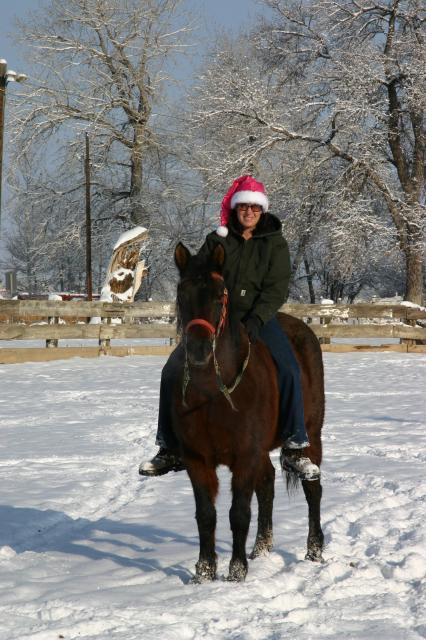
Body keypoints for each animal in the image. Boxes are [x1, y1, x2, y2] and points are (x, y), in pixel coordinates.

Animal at [171, 240, 324, 580]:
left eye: (220, 295)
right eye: (181, 293)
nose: (199, 350)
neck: (213, 392)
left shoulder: (244, 456)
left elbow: (238, 513)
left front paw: (237, 571)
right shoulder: (197, 460)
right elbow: (206, 515)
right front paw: (204, 572)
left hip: (312, 435)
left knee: (313, 489)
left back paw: (314, 551)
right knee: (266, 485)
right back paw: (262, 549)